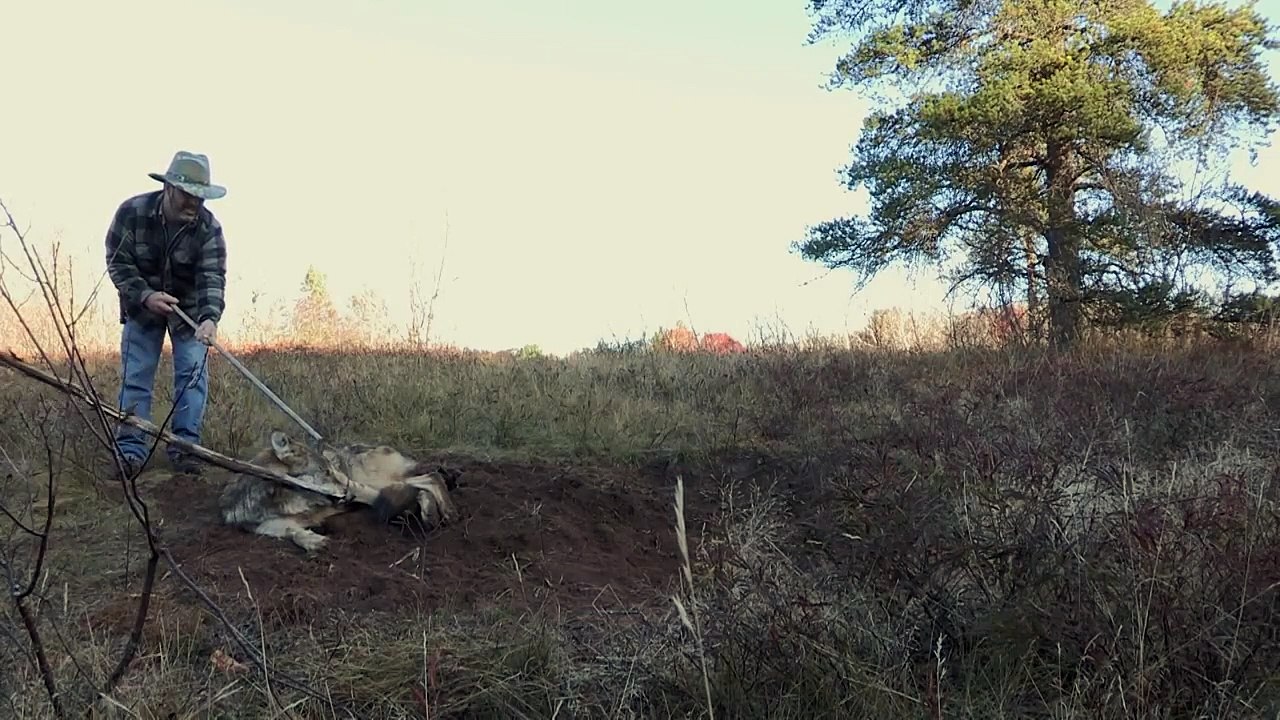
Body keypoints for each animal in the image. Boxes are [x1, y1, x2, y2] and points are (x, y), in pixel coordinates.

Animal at [217, 430, 461, 553]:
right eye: (325, 472)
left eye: (331, 470)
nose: (348, 493)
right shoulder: (262, 526)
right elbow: (291, 532)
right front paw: (312, 540)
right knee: (418, 487)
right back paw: (429, 514)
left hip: (373, 486)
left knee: (430, 478)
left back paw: (445, 512)